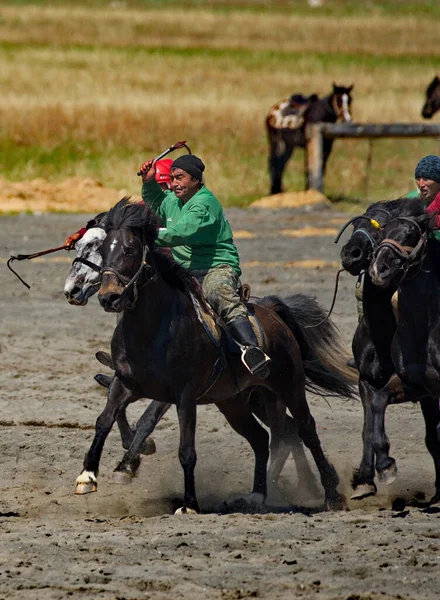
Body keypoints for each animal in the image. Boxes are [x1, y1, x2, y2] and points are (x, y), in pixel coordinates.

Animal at [75, 198, 358, 516]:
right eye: (103, 250)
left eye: (130, 249)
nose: (108, 297)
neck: (153, 329)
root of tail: (274, 314)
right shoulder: (125, 384)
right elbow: (104, 420)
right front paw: (88, 475)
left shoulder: (183, 395)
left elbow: (185, 448)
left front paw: (188, 503)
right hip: (233, 402)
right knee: (263, 438)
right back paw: (257, 495)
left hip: (289, 386)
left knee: (305, 430)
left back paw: (331, 493)